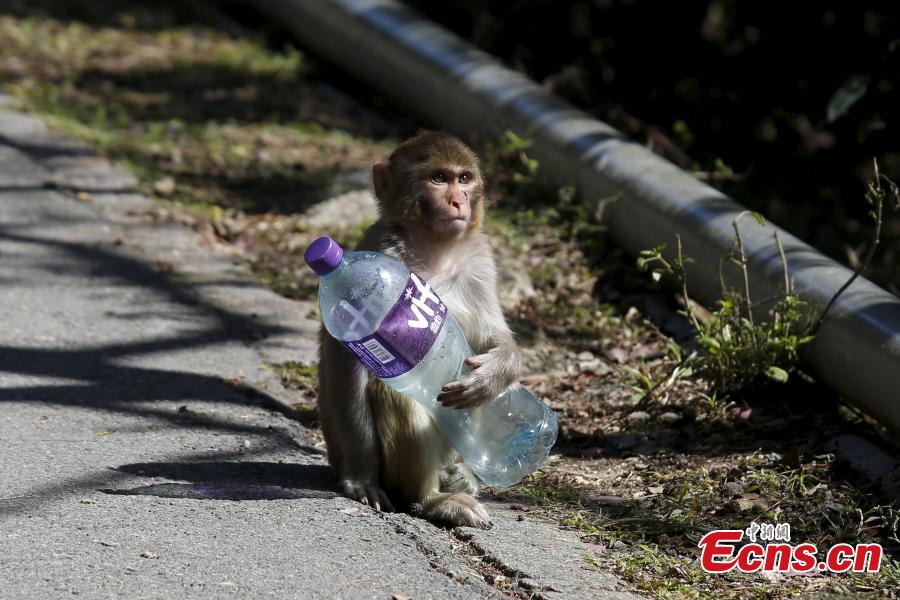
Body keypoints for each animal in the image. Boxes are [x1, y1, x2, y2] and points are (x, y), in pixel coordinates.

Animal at [316, 131, 521, 529]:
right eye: (438, 178)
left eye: (464, 178)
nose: (458, 200)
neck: (435, 253)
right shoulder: (377, 252)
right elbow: (346, 374)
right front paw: (360, 478)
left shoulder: (480, 261)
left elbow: (493, 338)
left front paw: (492, 374)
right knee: (393, 392)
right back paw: (433, 500)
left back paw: (462, 475)